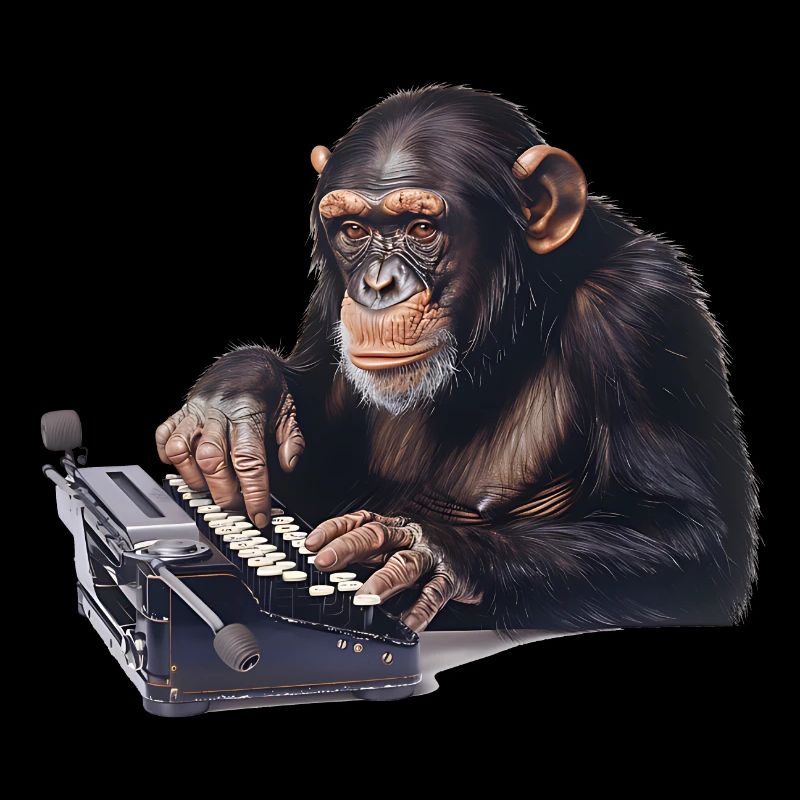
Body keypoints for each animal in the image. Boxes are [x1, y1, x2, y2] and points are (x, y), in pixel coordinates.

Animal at [156, 85, 758, 633]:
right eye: (353, 230)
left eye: (422, 228)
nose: (376, 285)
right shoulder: (330, 300)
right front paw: (231, 406)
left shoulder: (643, 307)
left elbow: (693, 538)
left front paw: (426, 550)